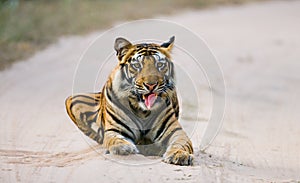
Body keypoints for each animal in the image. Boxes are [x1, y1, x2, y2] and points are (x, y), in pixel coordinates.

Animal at [64, 36, 193, 166]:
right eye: (137, 65)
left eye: (160, 64)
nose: (151, 85)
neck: (142, 111)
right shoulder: (114, 130)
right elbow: (114, 139)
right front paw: (123, 148)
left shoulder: (175, 132)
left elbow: (181, 143)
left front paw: (179, 155)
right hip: (72, 100)